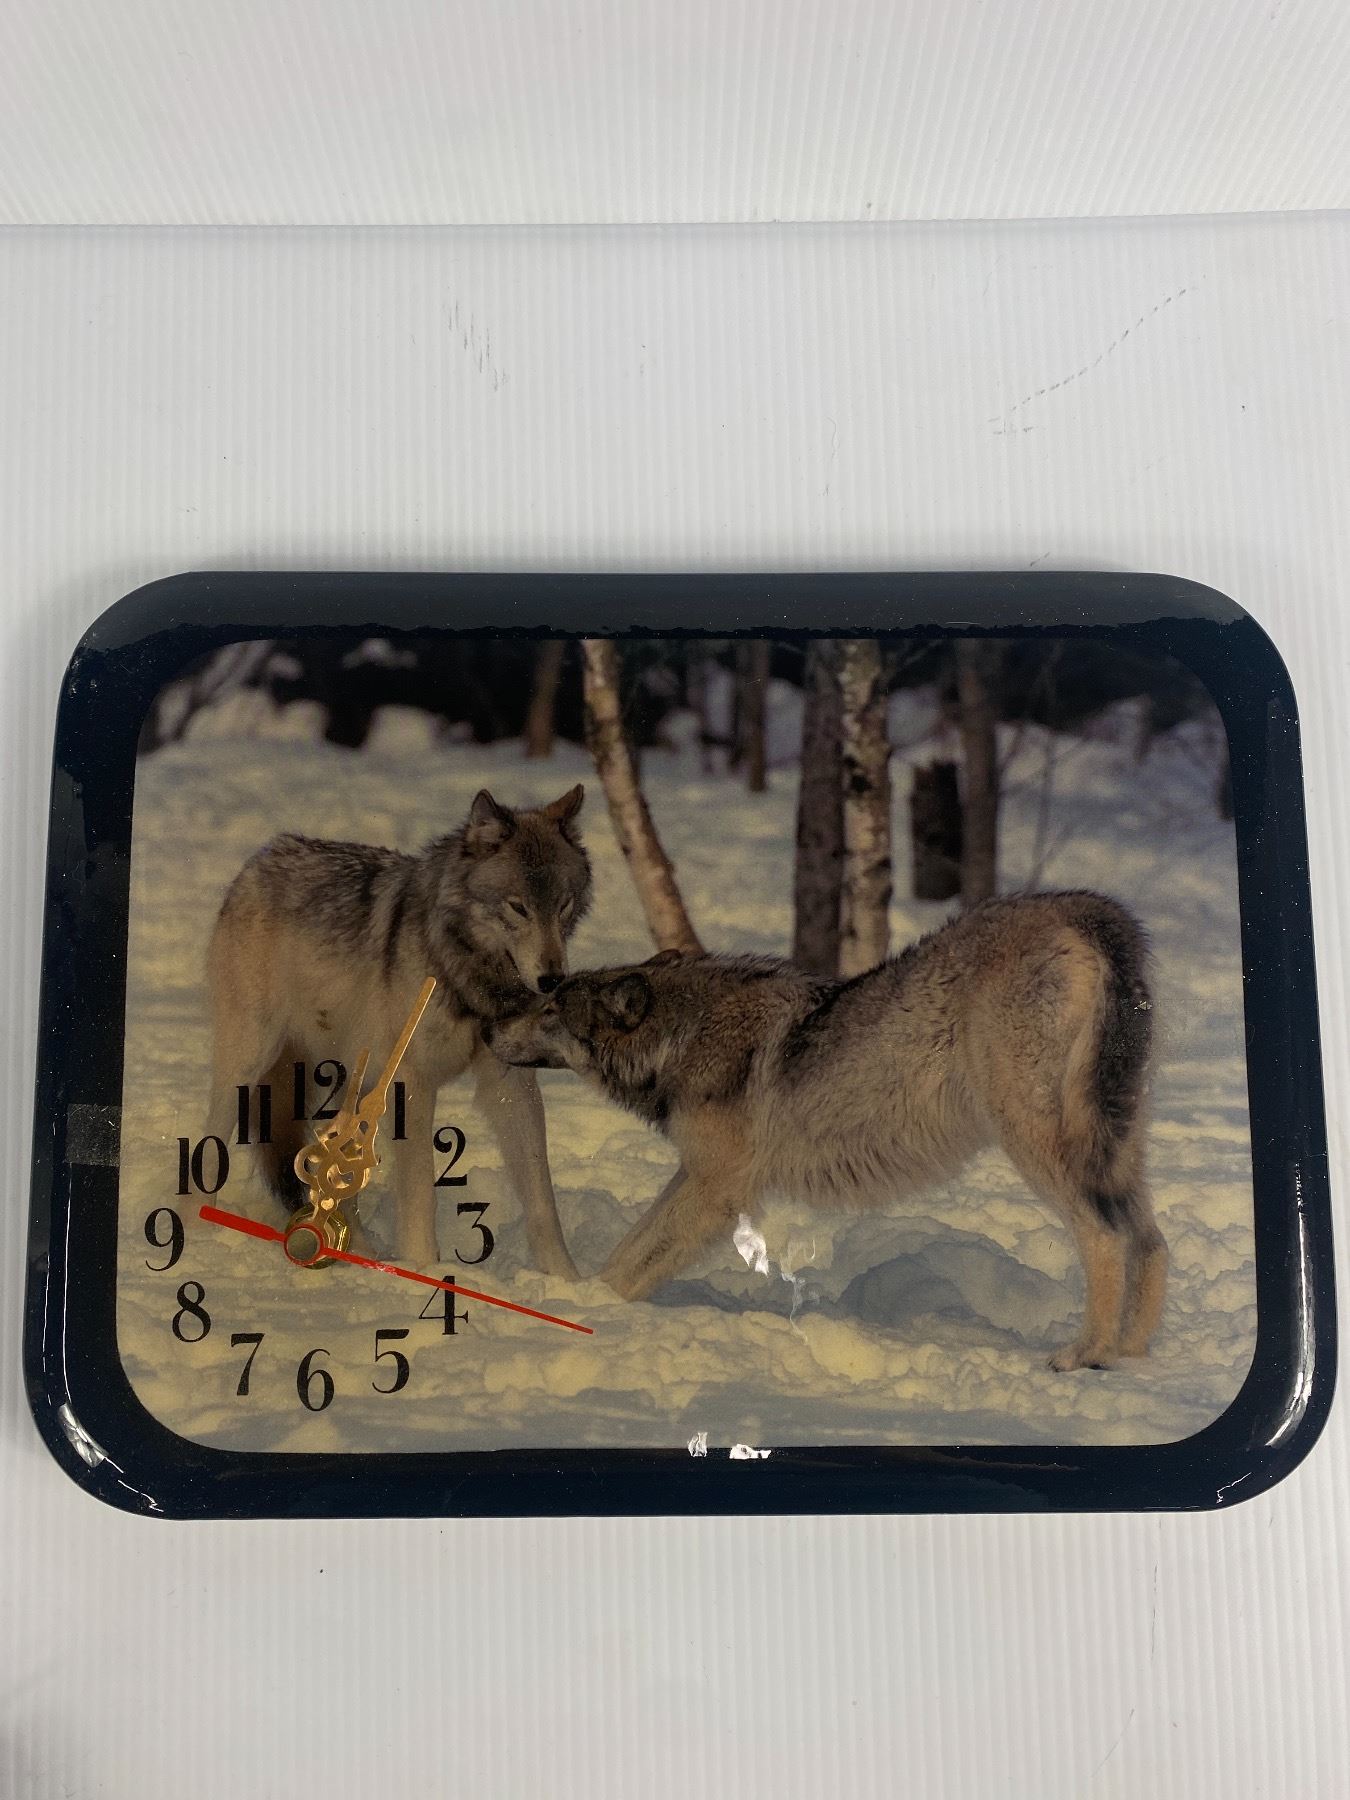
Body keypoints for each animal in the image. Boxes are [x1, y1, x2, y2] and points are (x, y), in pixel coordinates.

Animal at [206, 785, 591, 1270]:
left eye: (563, 906)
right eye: (518, 907)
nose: (552, 979)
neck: (468, 977)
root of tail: (264, 855)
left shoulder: (510, 1083)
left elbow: (542, 1198)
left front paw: (568, 1280)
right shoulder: (414, 1082)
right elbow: (420, 1193)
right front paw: (425, 1269)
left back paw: (356, 1253)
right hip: (250, 1063)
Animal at [483, 891, 1168, 1370]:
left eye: (551, 1009)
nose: (488, 1030)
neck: (683, 1036)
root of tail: (1087, 911)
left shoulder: (717, 1189)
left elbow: (633, 1263)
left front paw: (582, 1309)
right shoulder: (698, 1176)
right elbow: (629, 1248)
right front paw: (576, 1299)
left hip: (1036, 1143)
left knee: (1107, 1236)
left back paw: (1085, 1356)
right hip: (1114, 1149)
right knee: (1152, 1242)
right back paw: (1130, 1359)